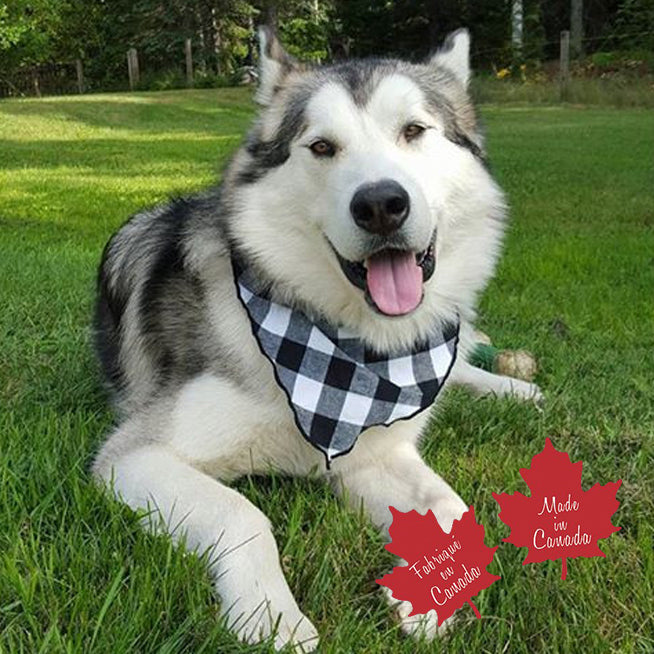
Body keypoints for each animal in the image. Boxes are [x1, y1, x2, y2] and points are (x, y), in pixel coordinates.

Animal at [92, 28, 544, 652]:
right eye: (322, 147)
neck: (342, 355)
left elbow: (455, 507)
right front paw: (272, 618)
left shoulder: (377, 452)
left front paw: (430, 592)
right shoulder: (133, 457)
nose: (380, 205)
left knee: (461, 369)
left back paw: (511, 386)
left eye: (414, 131)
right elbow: (242, 513)